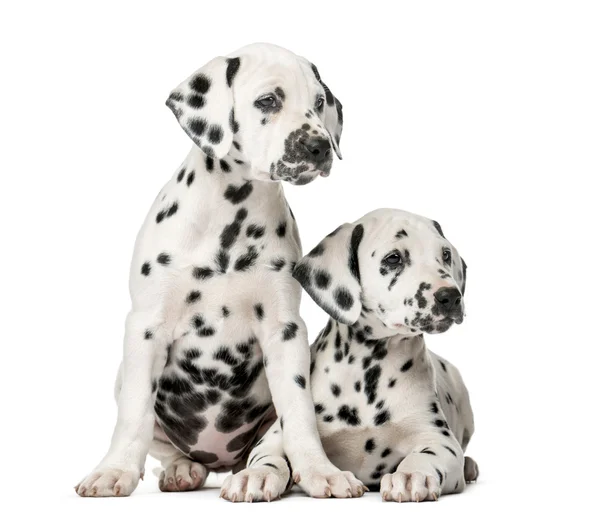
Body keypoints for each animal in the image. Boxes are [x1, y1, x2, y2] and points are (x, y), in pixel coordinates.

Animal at [76, 43, 366, 500]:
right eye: (268, 101)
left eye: (319, 103)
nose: (318, 146)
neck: (231, 219)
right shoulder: (145, 328)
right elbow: (134, 413)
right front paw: (114, 469)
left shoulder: (286, 331)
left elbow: (299, 412)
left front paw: (320, 470)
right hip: (123, 379)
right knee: (165, 445)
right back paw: (182, 469)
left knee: (267, 448)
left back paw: (260, 474)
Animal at [220, 208, 478, 504]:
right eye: (394, 258)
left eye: (445, 254)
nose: (451, 296)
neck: (368, 372)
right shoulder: (275, 437)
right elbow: (270, 455)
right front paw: (256, 475)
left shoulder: (439, 438)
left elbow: (428, 455)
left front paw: (411, 474)